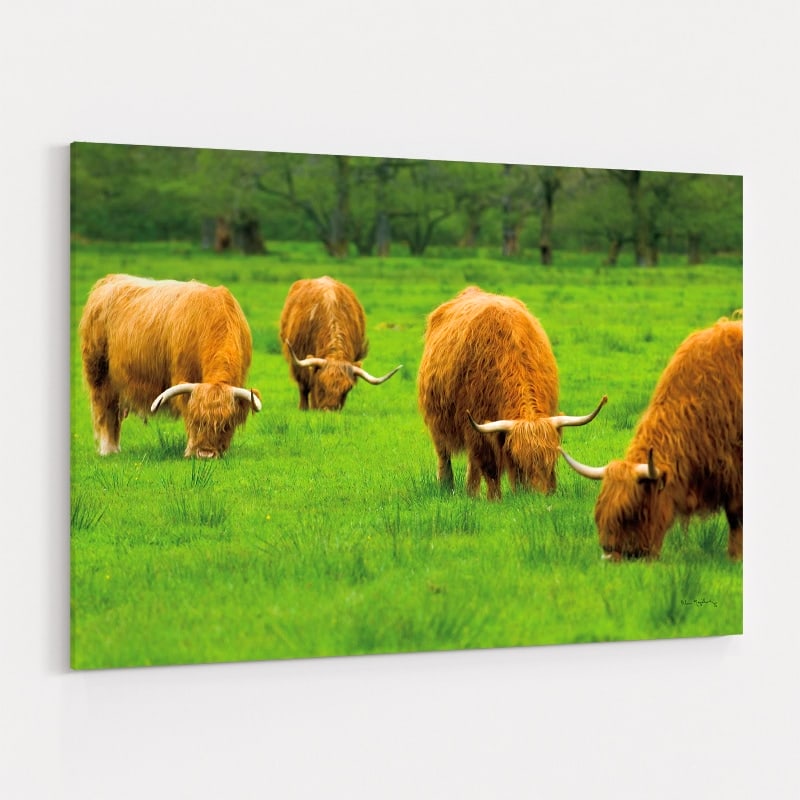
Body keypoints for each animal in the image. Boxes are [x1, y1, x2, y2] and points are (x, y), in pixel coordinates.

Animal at [79, 274, 262, 459]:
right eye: (197, 422)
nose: (205, 453)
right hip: (99, 372)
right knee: (104, 408)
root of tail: (109, 279)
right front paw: (190, 449)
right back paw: (108, 449)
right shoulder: (183, 377)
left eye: (226, 425)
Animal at [417, 286, 607, 499]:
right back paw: (449, 487)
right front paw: (495, 499)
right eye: (518, 461)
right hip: (437, 422)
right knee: (445, 455)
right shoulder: (477, 426)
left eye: (553, 459)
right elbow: (490, 468)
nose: (540, 496)